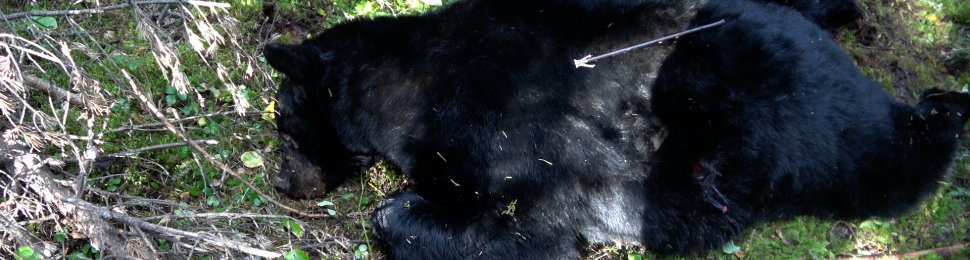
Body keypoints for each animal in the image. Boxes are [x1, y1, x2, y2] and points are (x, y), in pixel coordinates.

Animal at [264, 0, 968, 258]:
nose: (280, 184)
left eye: (286, 128)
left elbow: (524, 225)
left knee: (889, 164)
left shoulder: (508, 135)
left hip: (811, 140)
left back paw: (945, 109)